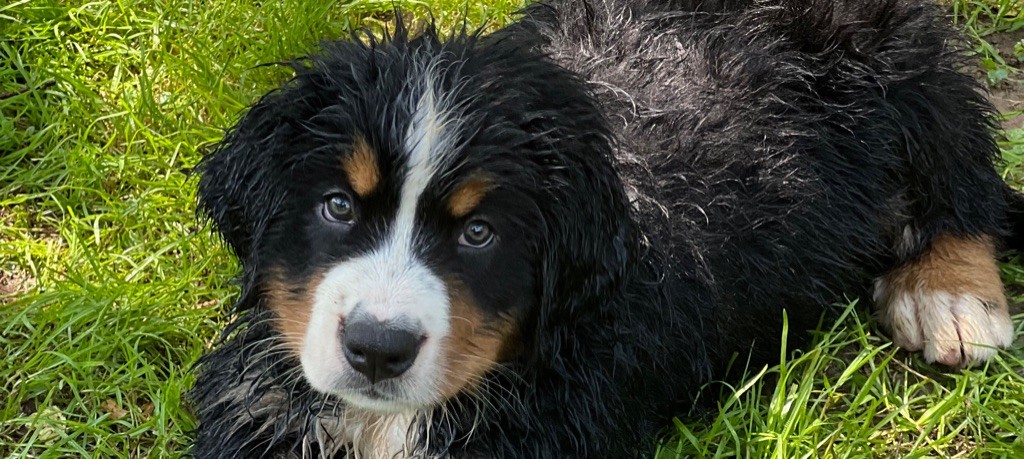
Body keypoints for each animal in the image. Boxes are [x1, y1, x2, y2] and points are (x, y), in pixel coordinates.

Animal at [190, 0, 1015, 456]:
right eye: (337, 206)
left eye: (479, 233)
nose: (377, 348)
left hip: (906, 68)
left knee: (967, 171)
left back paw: (951, 299)